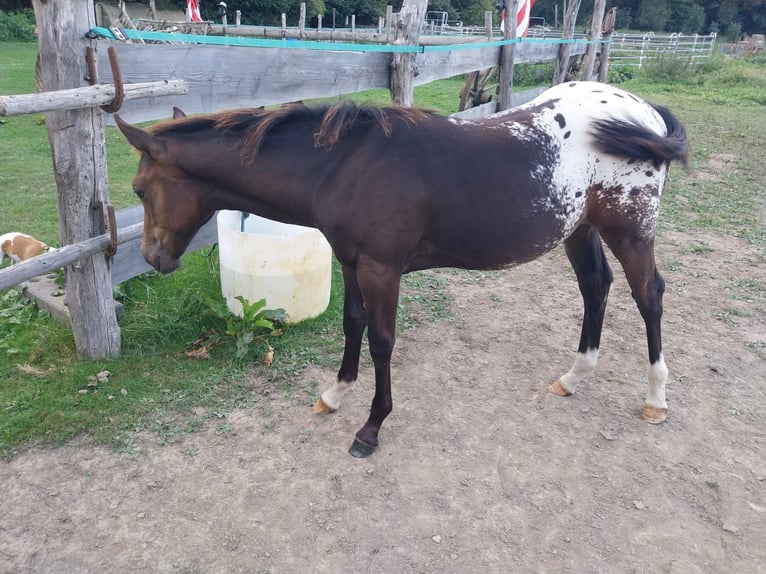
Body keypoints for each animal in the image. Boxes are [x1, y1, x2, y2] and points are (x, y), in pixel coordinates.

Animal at [117, 81, 692, 460]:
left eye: (139, 190)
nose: (153, 257)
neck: (345, 165)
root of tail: (646, 113)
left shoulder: (381, 269)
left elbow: (382, 341)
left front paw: (371, 428)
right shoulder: (351, 262)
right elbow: (352, 325)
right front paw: (334, 394)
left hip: (631, 232)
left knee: (649, 296)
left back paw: (656, 398)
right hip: (579, 229)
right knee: (596, 288)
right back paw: (573, 378)